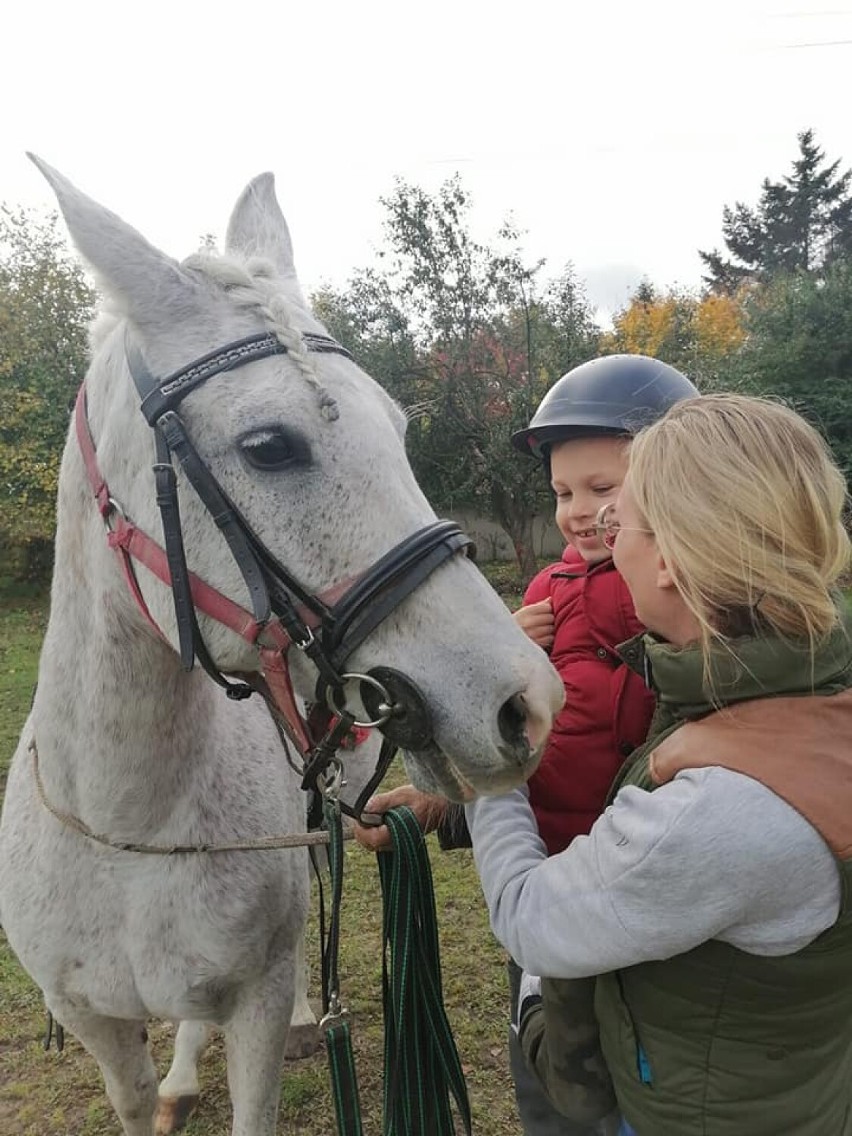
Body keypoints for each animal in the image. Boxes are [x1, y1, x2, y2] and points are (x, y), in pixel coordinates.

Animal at [0, 157, 568, 1136]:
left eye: (399, 429)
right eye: (269, 446)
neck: (128, 829)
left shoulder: (254, 1010)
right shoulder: (96, 1027)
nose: (524, 703)